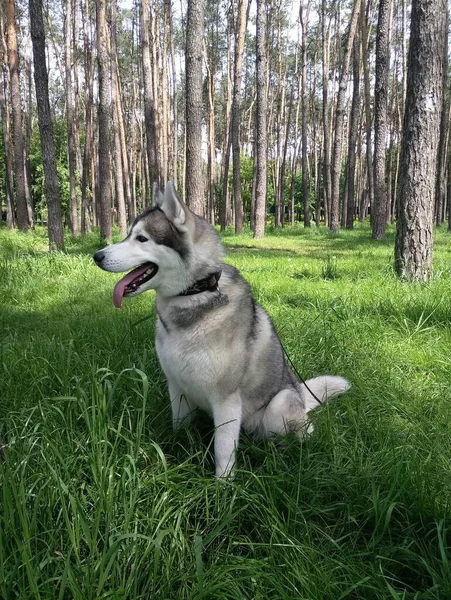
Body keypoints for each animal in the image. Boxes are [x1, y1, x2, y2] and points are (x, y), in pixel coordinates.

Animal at [94, 183, 350, 478]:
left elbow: (223, 451)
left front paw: (222, 486)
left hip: (279, 406)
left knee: (298, 433)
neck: (195, 294)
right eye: (128, 234)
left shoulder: (226, 400)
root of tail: (299, 391)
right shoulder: (176, 386)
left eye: (142, 238)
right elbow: (179, 428)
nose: (96, 256)